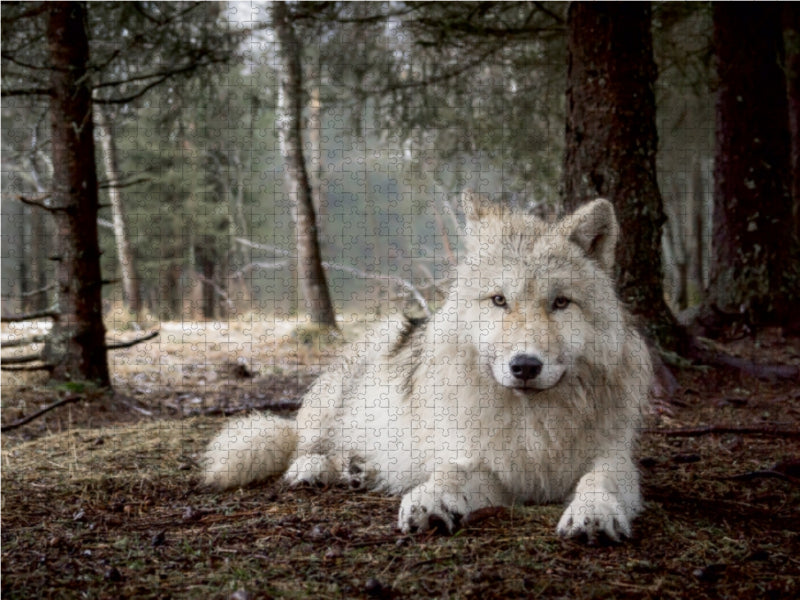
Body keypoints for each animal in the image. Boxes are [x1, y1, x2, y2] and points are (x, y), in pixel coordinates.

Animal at [204, 195, 652, 542]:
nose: (524, 366)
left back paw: (358, 470)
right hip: (342, 393)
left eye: (560, 303)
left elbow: (600, 480)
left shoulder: (612, 456)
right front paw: (430, 499)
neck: (532, 424)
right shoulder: (476, 460)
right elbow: (449, 475)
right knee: (300, 444)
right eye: (499, 300)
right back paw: (319, 469)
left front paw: (594, 512)